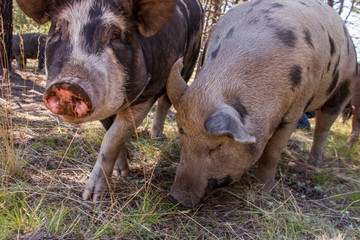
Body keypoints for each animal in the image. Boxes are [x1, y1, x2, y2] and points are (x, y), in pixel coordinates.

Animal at [165, 0, 358, 208]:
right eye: (181, 135)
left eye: (217, 146)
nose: (176, 197)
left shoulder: (295, 109)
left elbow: (272, 152)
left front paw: (263, 191)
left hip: (345, 85)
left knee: (324, 125)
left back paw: (315, 162)